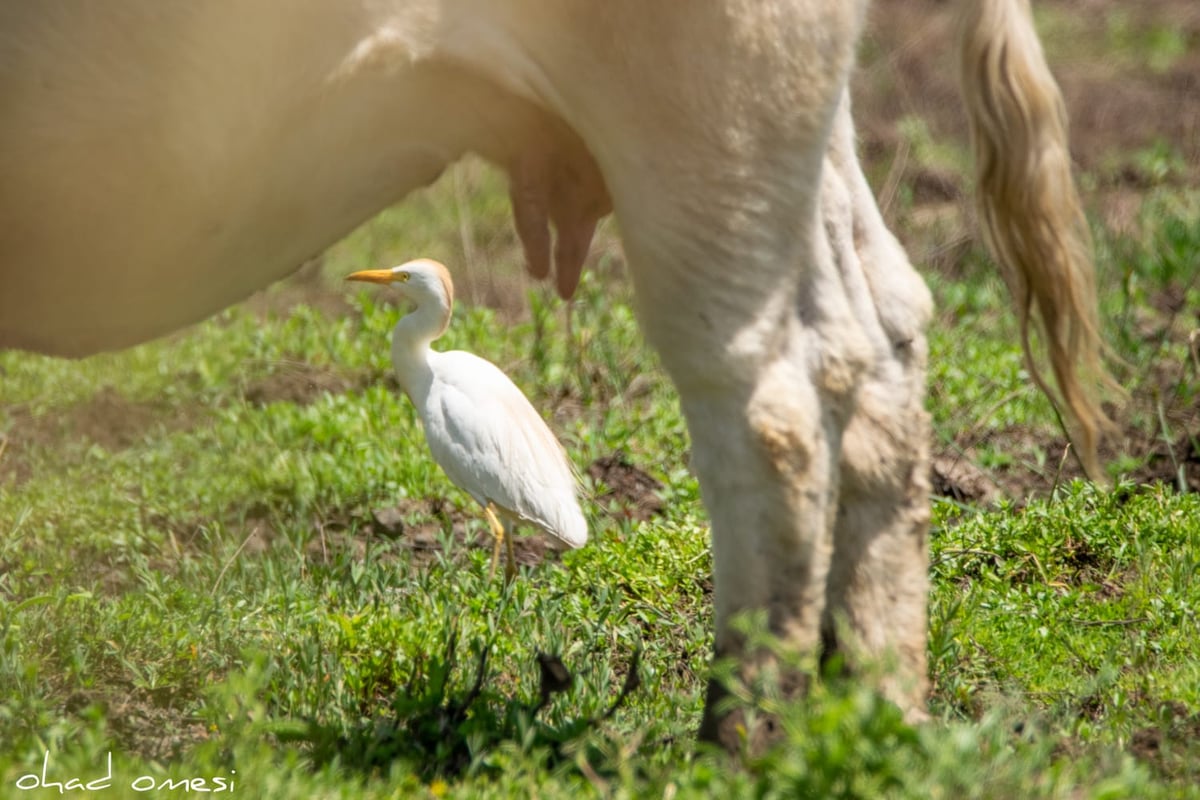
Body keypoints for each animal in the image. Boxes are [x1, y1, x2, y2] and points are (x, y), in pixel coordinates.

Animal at [0, 0, 1104, 753]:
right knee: (884, 330)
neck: (434, 366)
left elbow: (494, 534)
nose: (366, 279)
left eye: (402, 276)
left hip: (704, 110)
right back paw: (867, 711)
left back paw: (743, 741)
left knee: (771, 400)